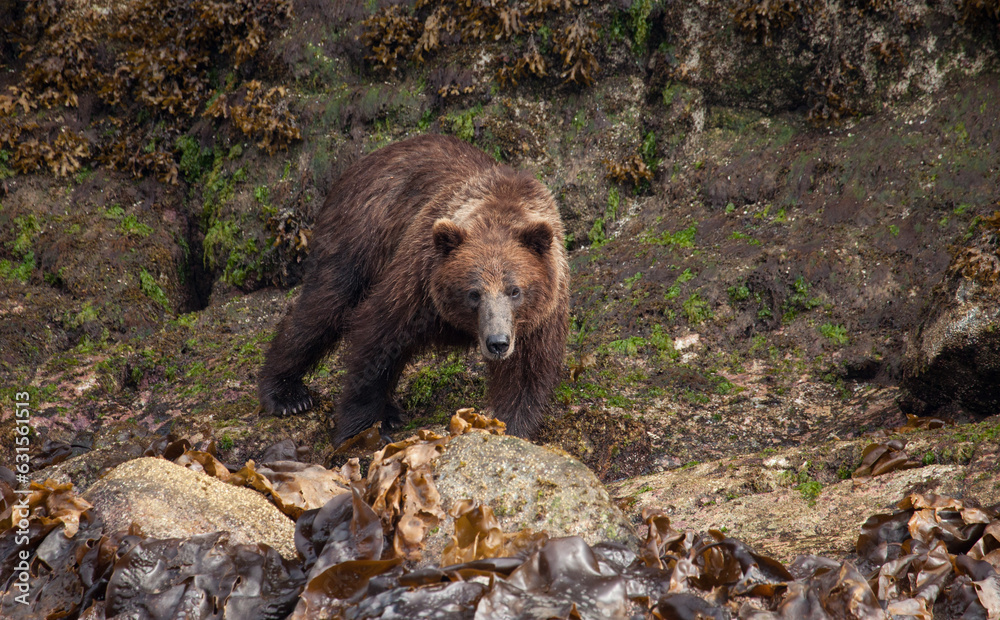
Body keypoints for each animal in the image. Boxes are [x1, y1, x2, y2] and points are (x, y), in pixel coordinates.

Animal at [258, 134, 569, 444]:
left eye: (515, 290)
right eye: (474, 293)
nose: (497, 342)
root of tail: (367, 159)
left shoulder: (538, 318)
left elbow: (524, 377)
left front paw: (507, 427)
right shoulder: (419, 281)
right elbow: (378, 339)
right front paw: (358, 428)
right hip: (360, 234)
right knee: (323, 306)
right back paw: (286, 393)